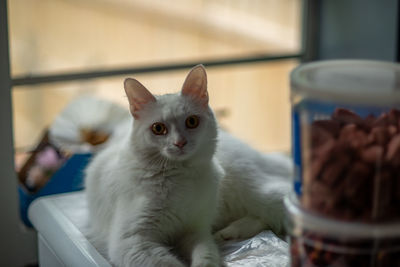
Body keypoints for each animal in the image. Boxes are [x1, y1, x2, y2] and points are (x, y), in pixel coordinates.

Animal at [59, 65, 290, 267]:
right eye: (158, 128)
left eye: (191, 122)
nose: (180, 143)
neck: (180, 177)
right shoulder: (134, 241)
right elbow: (171, 263)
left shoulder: (195, 231)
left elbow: (206, 255)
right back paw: (228, 233)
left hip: (256, 193)